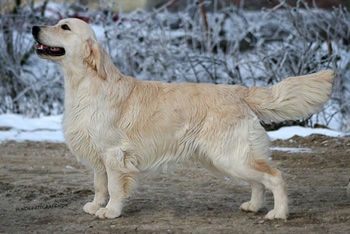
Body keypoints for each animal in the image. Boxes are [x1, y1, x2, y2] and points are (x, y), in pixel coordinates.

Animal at [32, 17, 334, 219]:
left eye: (64, 27)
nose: (34, 27)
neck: (86, 84)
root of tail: (240, 91)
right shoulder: (97, 155)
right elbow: (99, 185)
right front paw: (96, 205)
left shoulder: (114, 154)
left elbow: (115, 188)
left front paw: (110, 212)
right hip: (228, 158)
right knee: (259, 181)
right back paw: (254, 206)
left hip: (230, 156)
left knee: (275, 176)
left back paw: (278, 213)